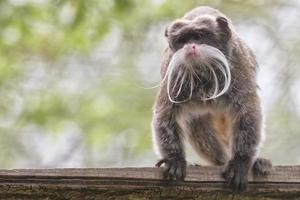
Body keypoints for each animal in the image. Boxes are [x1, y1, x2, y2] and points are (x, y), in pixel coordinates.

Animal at [152, 5, 272, 191]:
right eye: (182, 40)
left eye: (199, 36)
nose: (190, 46)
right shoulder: (173, 74)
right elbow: (165, 115)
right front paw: (174, 159)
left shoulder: (238, 67)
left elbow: (248, 112)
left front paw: (240, 162)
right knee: (196, 124)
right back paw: (220, 162)